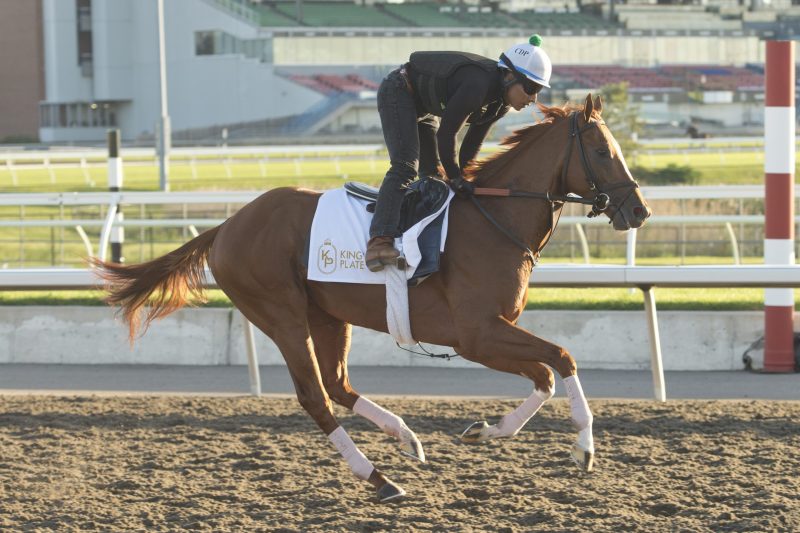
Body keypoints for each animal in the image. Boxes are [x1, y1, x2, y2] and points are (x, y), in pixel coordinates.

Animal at [92, 95, 648, 502]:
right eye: (603, 152)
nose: (638, 210)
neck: (494, 221)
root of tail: (226, 226)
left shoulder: (489, 335)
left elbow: (545, 377)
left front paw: (485, 430)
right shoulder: (478, 335)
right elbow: (562, 359)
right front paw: (583, 449)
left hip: (327, 315)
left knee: (338, 385)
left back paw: (406, 439)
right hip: (282, 315)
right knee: (315, 397)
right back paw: (379, 479)